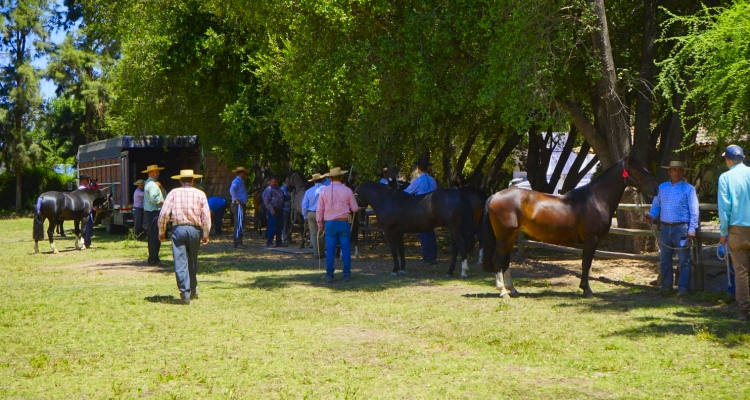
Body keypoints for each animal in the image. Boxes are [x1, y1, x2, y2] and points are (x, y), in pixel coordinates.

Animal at [482, 155, 656, 296]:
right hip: (504, 236)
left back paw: (513, 289)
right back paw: (503, 291)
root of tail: (494, 196)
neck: (596, 199)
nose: (654, 188)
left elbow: (587, 263)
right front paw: (586, 290)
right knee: (497, 259)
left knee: (505, 261)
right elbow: (586, 263)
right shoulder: (591, 239)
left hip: (510, 237)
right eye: (637, 169)